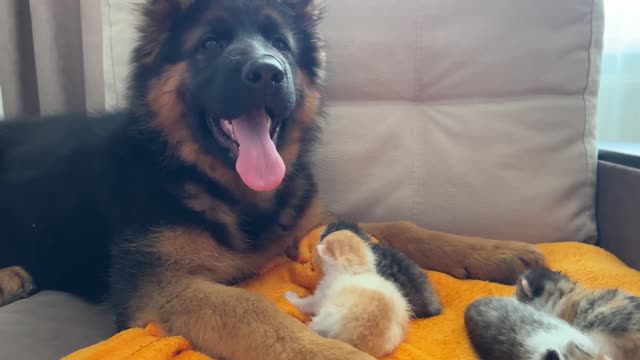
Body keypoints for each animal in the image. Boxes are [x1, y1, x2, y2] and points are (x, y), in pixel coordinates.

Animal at [284, 228, 410, 358]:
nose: (316, 256)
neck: (356, 269)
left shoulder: (321, 295)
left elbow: (306, 303)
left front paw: (290, 296)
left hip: (327, 314)